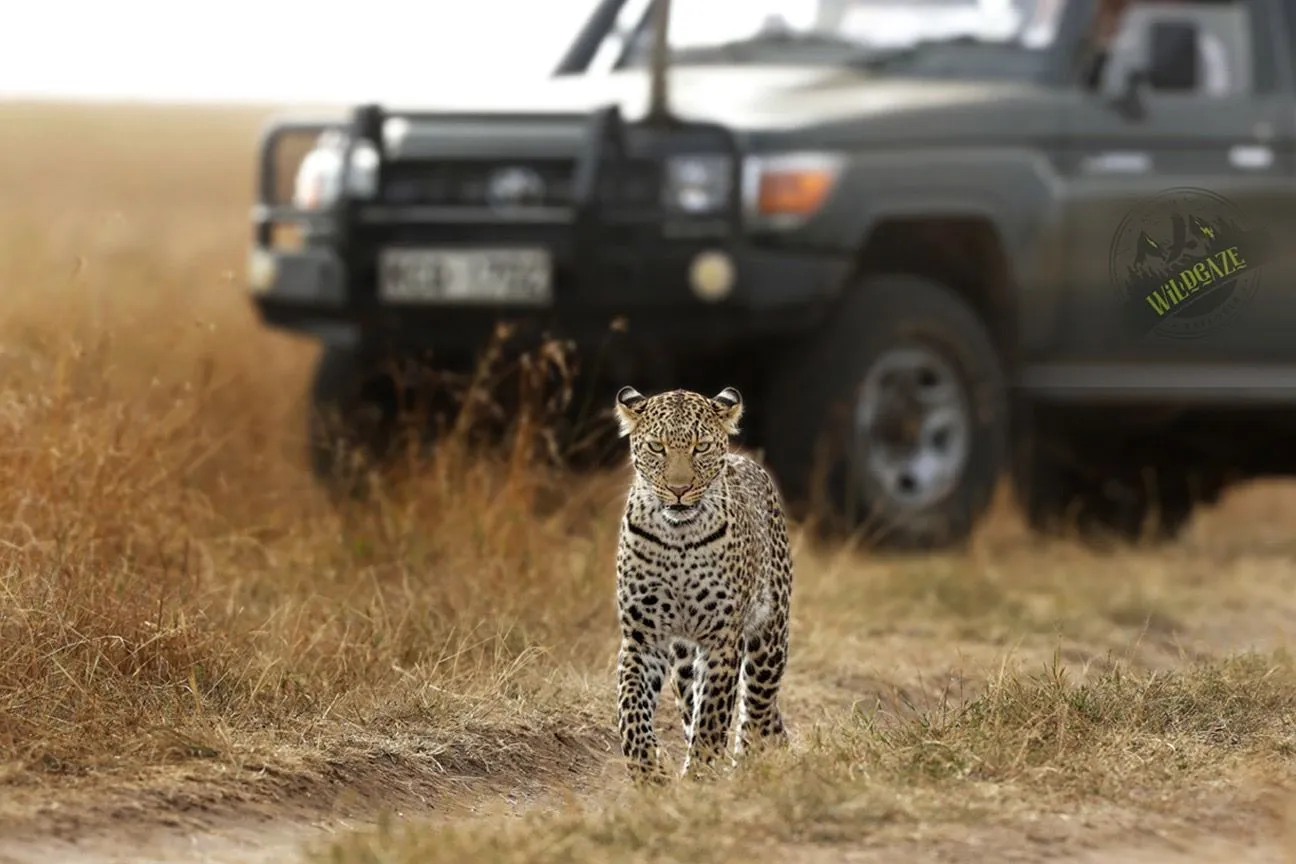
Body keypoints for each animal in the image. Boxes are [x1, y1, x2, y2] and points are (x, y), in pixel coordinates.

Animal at [611, 384, 795, 783]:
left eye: (702, 447)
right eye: (657, 447)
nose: (679, 490)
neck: (678, 535)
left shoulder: (722, 639)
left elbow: (712, 716)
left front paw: (700, 776)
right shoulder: (641, 638)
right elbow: (630, 706)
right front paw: (647, 770)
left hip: (769, 637)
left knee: (756, 707)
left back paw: (749, 766)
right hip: (682, 660)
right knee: (691, 703)